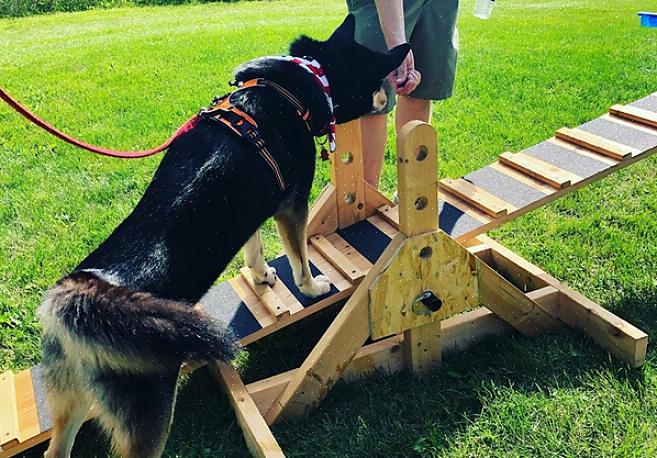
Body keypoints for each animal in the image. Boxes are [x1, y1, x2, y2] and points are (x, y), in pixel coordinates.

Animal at [37, 14, 410, 458]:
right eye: (381, 78)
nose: (389, 98)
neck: (299, 83)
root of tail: (79, 294)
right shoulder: (292, 206)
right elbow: (299, 259)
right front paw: (314, 288)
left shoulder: (256, 205)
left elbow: (254, 247)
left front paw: (262, 276)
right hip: (149, 417)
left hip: (72, 403)